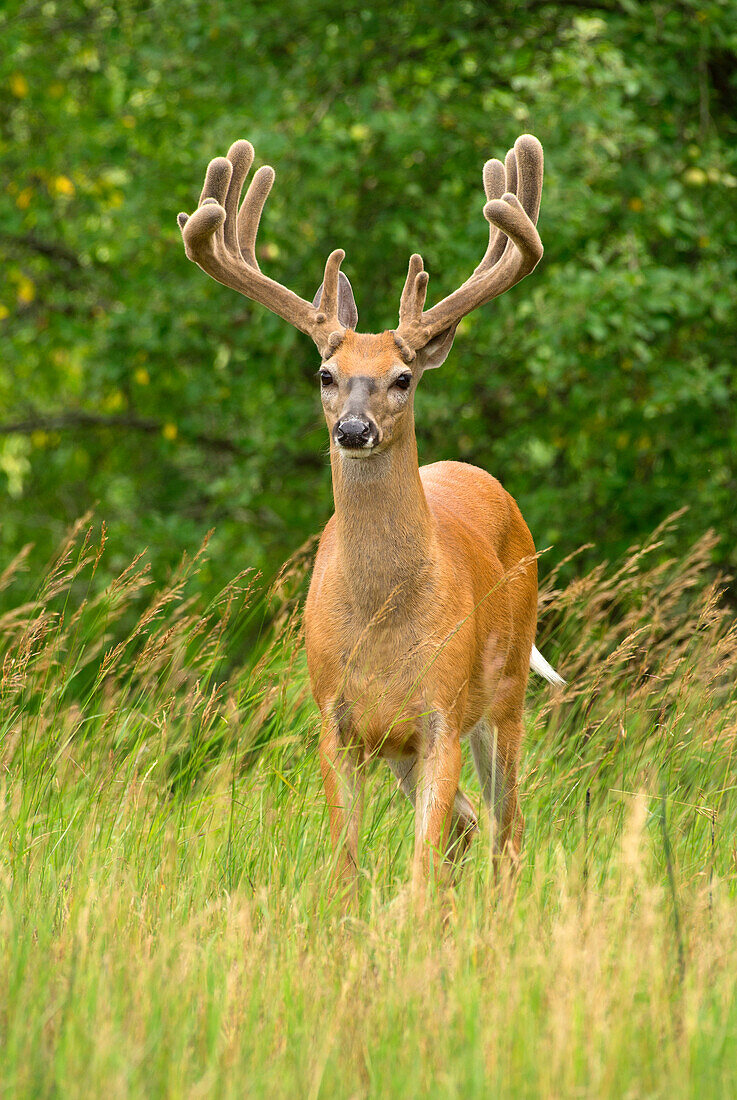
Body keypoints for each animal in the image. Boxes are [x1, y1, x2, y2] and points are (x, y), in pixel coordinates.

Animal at [177, 133, 567, 897]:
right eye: (326, 374)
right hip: (403, 748)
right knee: (469, 827)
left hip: (504, 696)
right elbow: (345, 869)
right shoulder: (336, 719)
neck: (384, 622)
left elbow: (416, 868)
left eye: (403, 377)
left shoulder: (442, 712)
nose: (352, 430)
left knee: (507, 829)